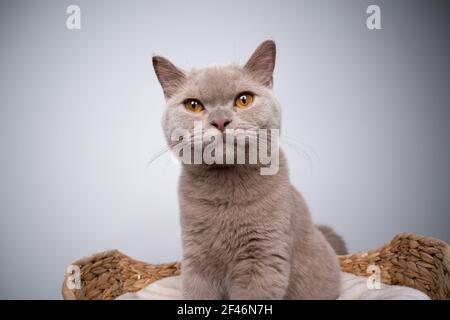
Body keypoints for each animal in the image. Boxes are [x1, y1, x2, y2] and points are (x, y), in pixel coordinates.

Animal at [153, 40, 346, 300]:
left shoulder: (263, 261)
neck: (225, 195)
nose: (220, 121)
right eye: (193, 105)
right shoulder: (196, 261)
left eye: (244, 100)